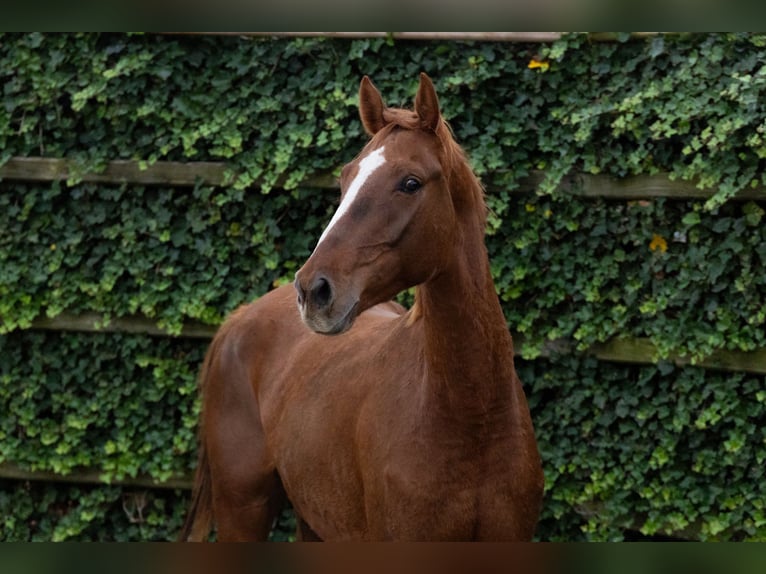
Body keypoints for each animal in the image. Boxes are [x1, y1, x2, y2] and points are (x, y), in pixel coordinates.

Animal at [179, 73, 544, 541]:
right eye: (345, 178)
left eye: (410, 182)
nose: (313, 291)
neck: (474, 418)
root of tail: (240, 319)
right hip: (243, 511)